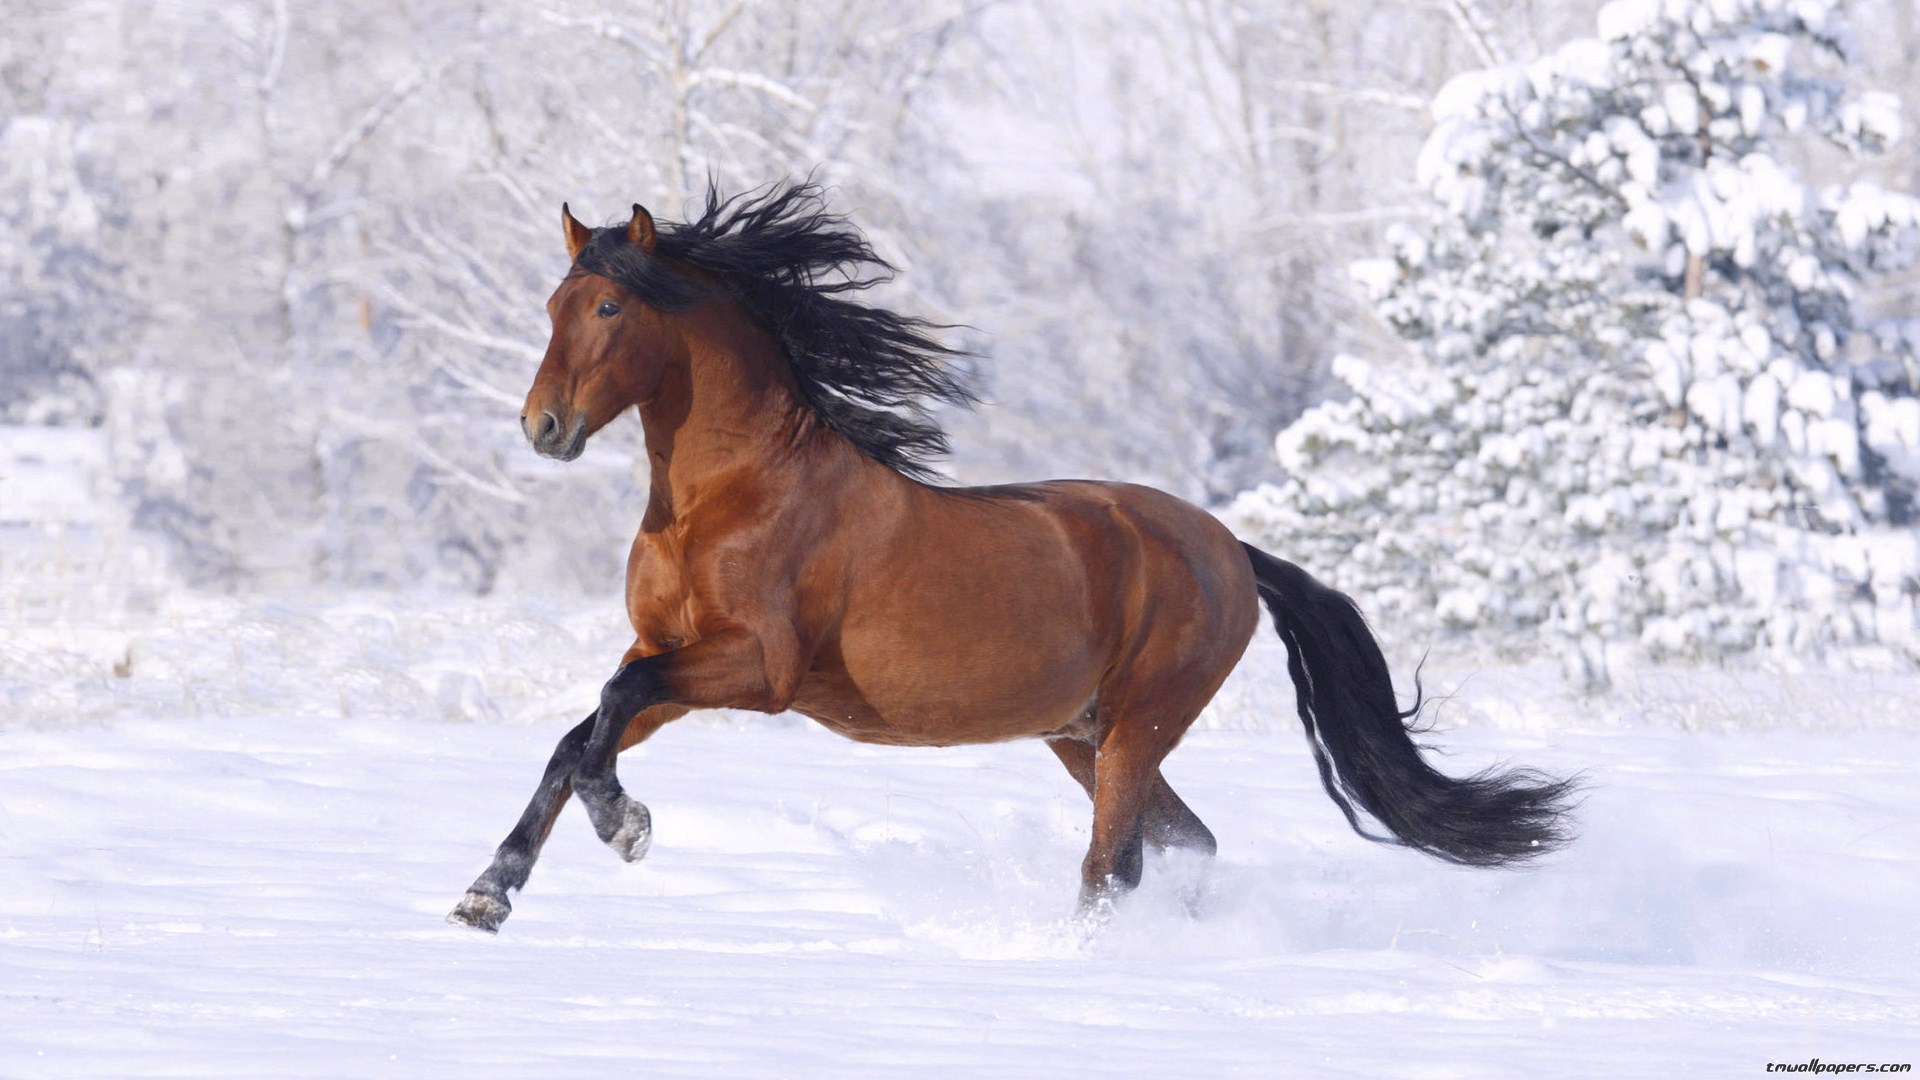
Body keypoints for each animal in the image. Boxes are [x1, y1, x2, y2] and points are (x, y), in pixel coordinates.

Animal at [447, 181, 1575, 933]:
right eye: (550, 307)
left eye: (609, 308)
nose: (542, 427)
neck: (729, 495)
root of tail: (1228, 548)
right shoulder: (674, 653)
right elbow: (582, 732)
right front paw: (489, 892)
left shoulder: (754, 669)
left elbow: (609, 707)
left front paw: (625, 825)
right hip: (1082, 734)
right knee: (1185, 845)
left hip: (1137, 727)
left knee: (1112, 866)